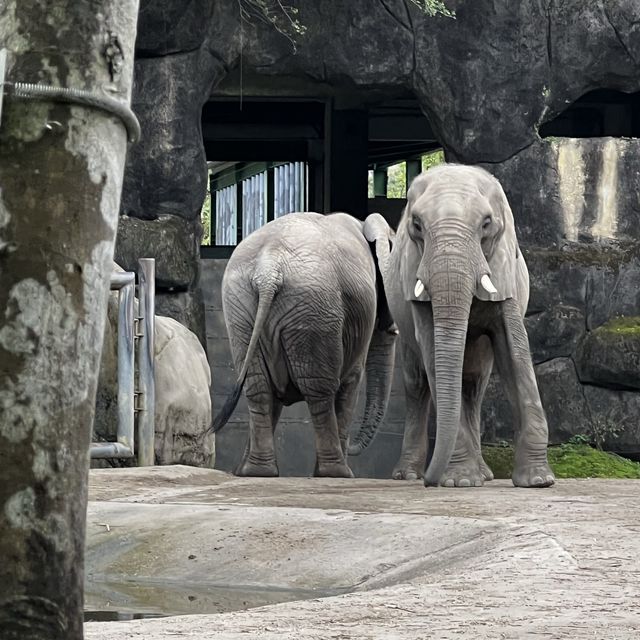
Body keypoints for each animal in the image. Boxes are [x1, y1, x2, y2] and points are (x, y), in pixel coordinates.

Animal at [212, 212, 398, 478]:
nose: (353, 448)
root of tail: (268, 269)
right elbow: (351, 380)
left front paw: (241, 469)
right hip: (313, 308)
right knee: (320, 390)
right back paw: (336, 472)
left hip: (241, 306)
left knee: (258, 386)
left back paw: (257, 471)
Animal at [350, 165, 556, 490]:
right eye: (417, 225)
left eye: (486, 224)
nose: (428, 483)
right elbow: (435, 355)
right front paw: (460, 481)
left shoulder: (504, 272)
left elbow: (515, 352)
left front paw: (537, 481)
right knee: (417, 383)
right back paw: (411, 475)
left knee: (473, 384)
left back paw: (483, 475)